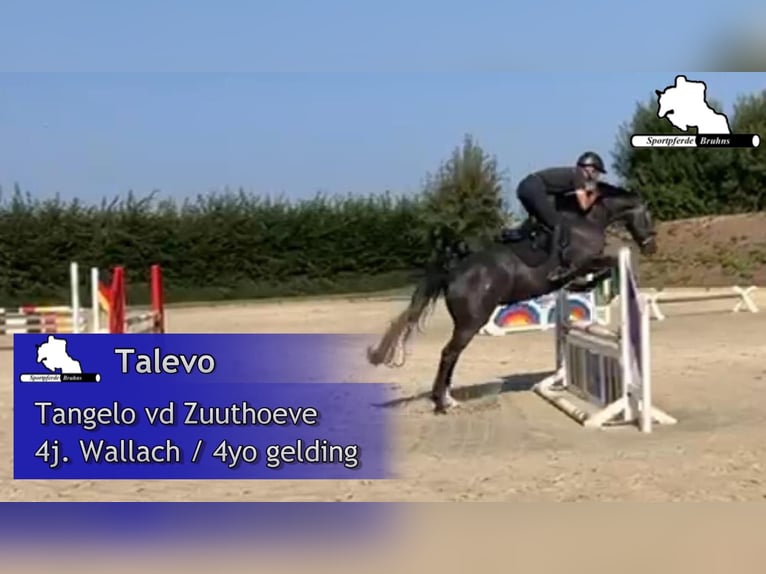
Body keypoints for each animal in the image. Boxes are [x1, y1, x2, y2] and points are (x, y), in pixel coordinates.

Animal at [368, 183, 656, 414]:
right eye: (648, 216)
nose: (651, 246)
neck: (587, 220)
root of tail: (454, 270)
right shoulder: (584, 262)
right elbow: (609, 264)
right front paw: (584, 283)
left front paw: (581, 285)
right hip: (471, 322)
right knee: (449, 353)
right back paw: (441, 403)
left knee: (452, 355)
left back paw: (448, 400)